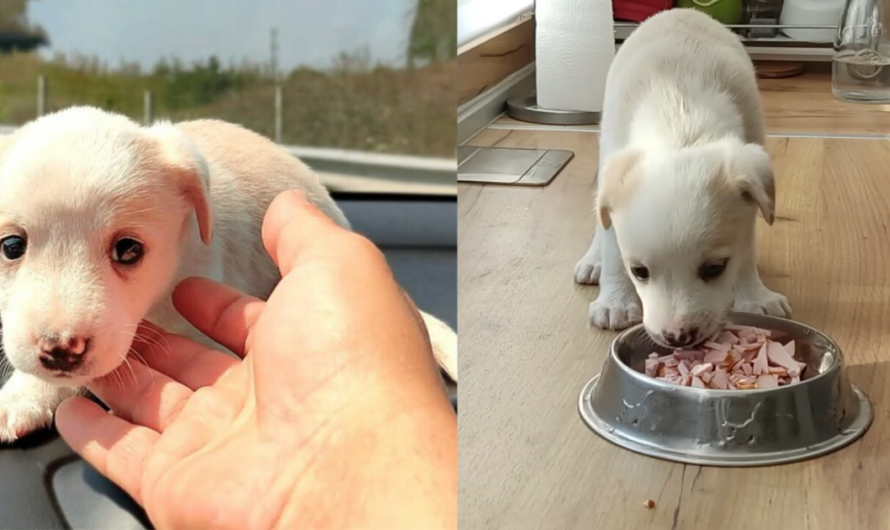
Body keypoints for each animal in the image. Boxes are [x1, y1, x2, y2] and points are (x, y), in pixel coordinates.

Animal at [572, 8, 788, 346]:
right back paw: (593, 262)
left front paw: (754, 295)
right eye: (639, 271)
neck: (681, 120)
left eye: (715, 268)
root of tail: (681, 10)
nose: (676, 337)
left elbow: (746, 248)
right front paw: (615, 302)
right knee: (601, 223)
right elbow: (612, 245)